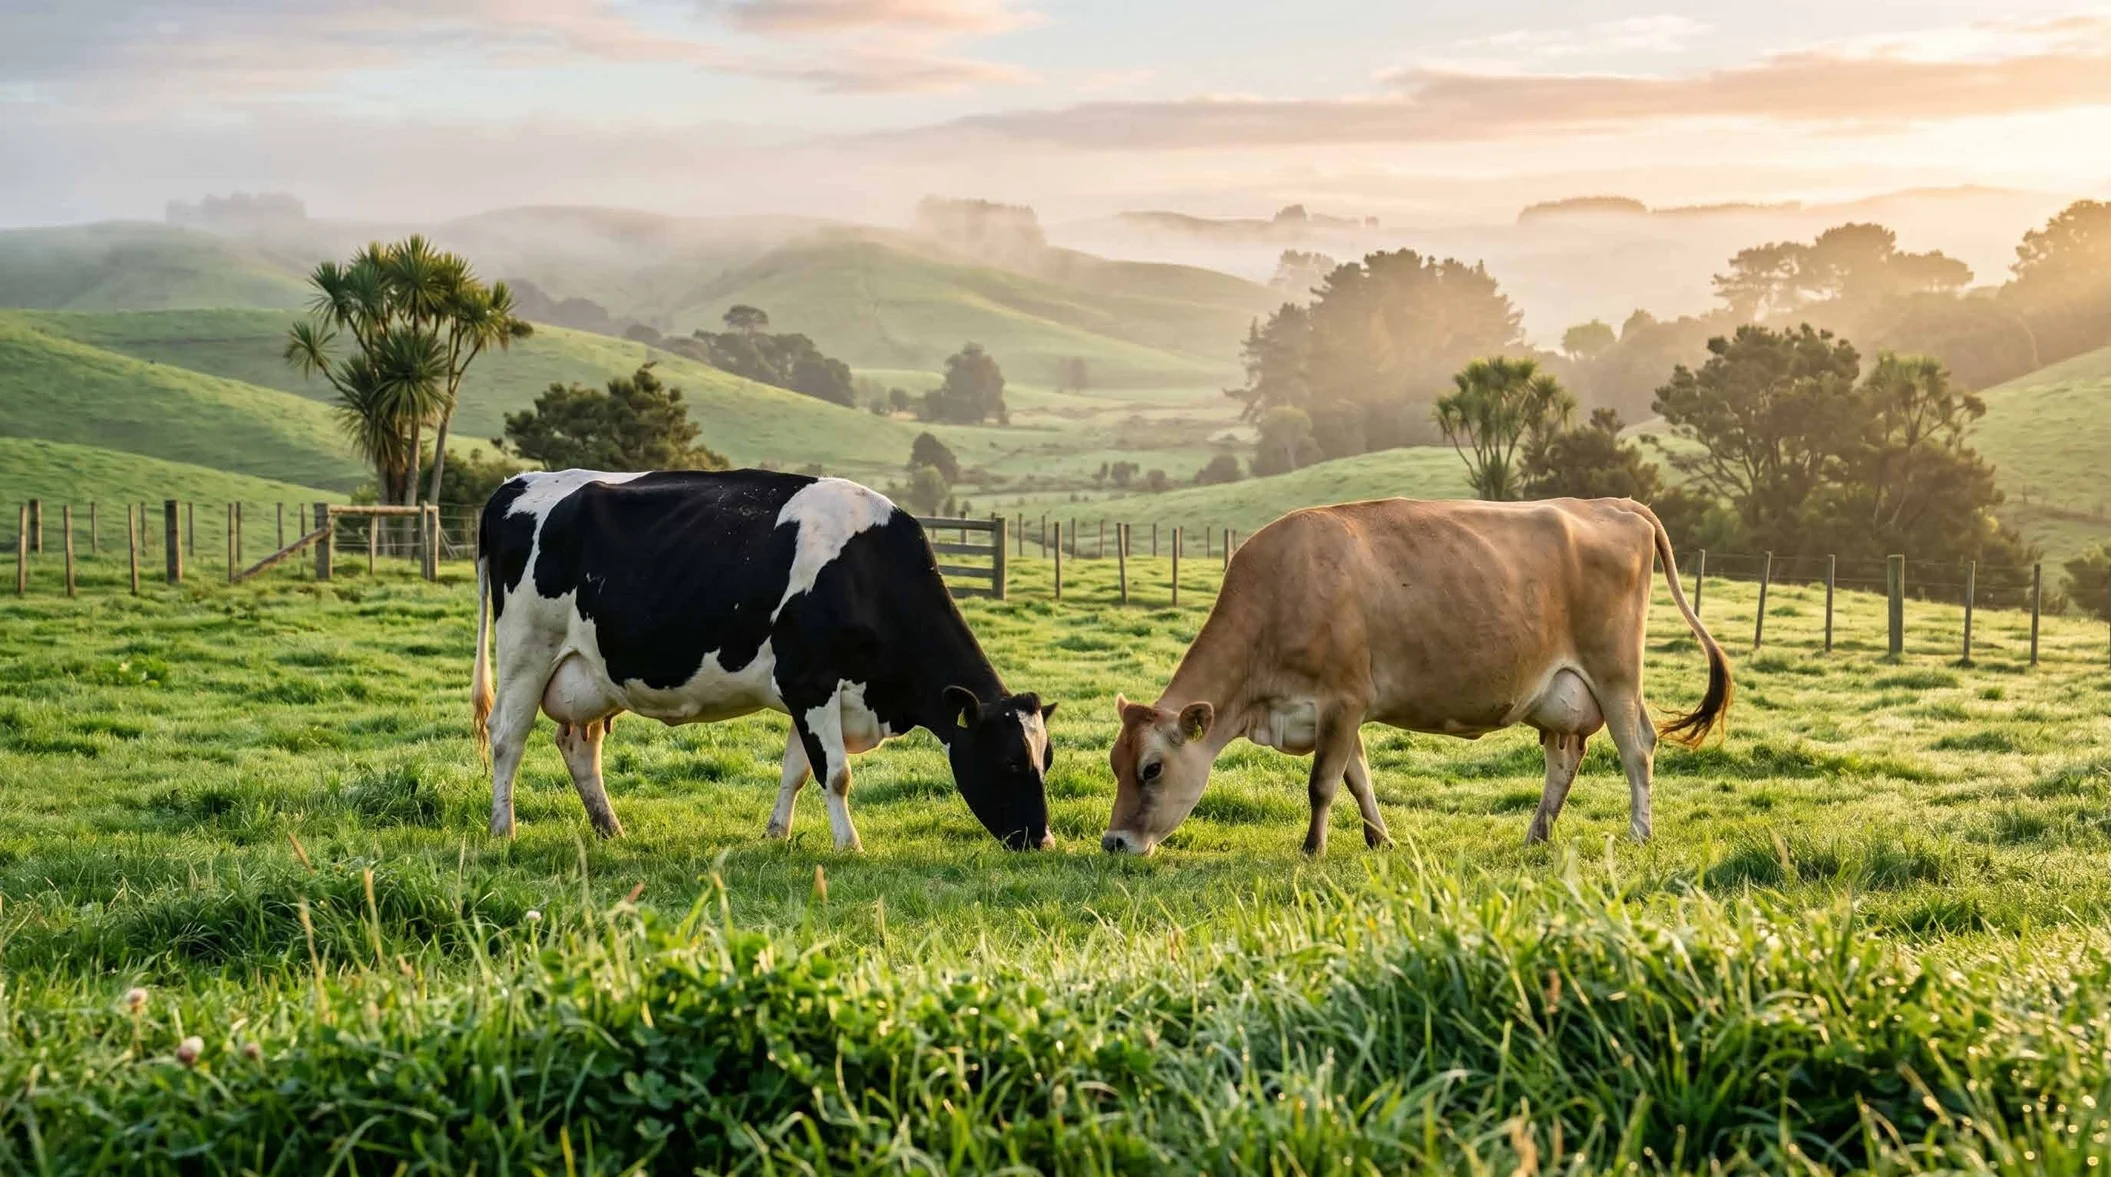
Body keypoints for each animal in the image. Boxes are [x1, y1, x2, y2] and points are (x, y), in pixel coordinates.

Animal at [470, 469, 1058, 851]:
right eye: (1011, 760)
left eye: (1046, 760)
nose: (1044, 840)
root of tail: (515, 484)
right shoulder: (811, 680)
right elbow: (836, 773)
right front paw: (850, 845)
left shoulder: (813, 693)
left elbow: (797, 770)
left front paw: (777, 834)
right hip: (527, 648)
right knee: (506, 738)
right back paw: (503, 830)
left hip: (591, 673)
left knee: (579, 746)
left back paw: (609, 828)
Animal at [1101, 497, 1730, 856]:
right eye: (1114, 764)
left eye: (1152, 768)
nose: (1113, 842)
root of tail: (1614, 503)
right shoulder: (1338, 711)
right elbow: (1358, 778)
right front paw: (1379, 839)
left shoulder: (1343, 698)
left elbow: (1323, 784)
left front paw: (1312, 850)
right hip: (1558, 693)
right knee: (1564, 759)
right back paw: (1536, 834)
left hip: (1615, 672)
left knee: (1637, 746)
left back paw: (1639, 833)